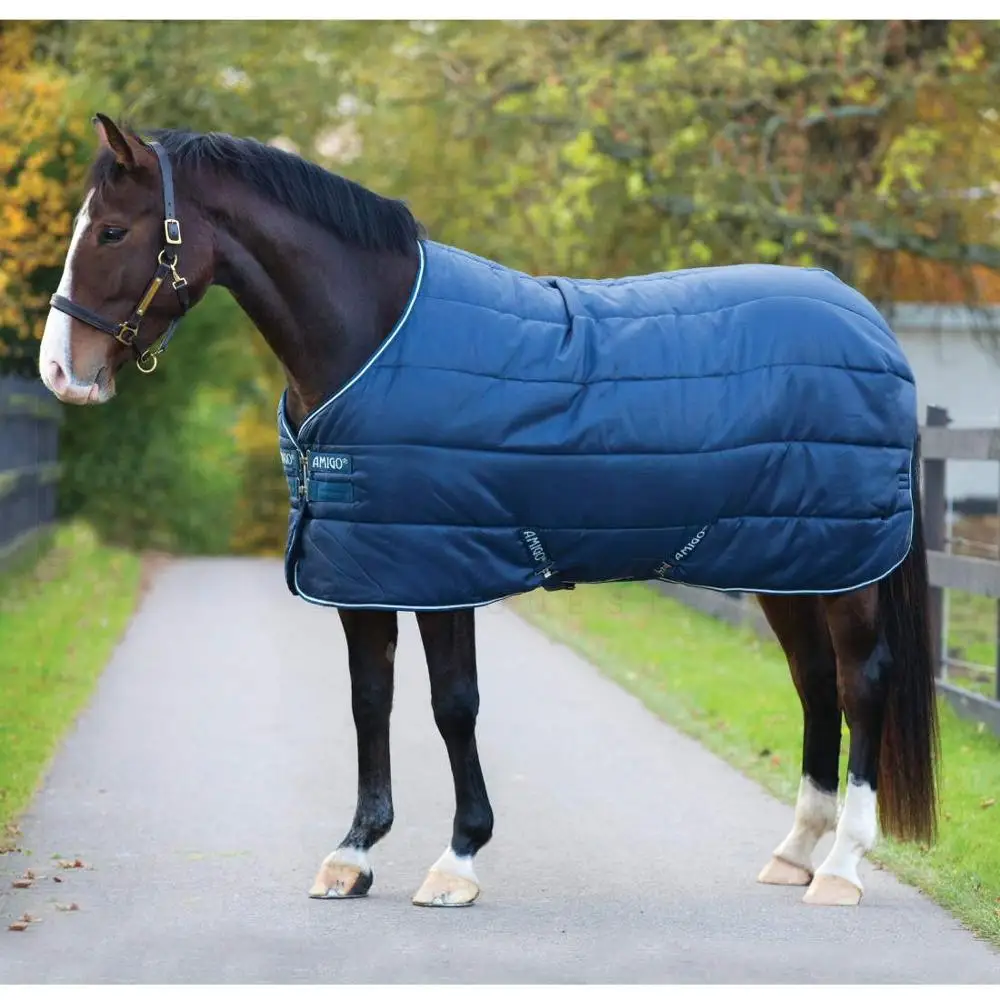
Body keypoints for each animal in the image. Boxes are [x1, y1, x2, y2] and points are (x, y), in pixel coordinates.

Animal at [37, 114, 938, 909]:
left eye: (111, 232)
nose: (60, 371)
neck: (373, 342)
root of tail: (873, 326)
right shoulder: (365, 572)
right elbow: (370, 700)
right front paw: (353, 854)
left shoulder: (445, 569)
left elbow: (453, 707)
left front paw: (457, 860)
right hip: (796, 563)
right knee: (816, 684)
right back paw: (795, 853)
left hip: (848, 570)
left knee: (862, 682)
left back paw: (842, 868)